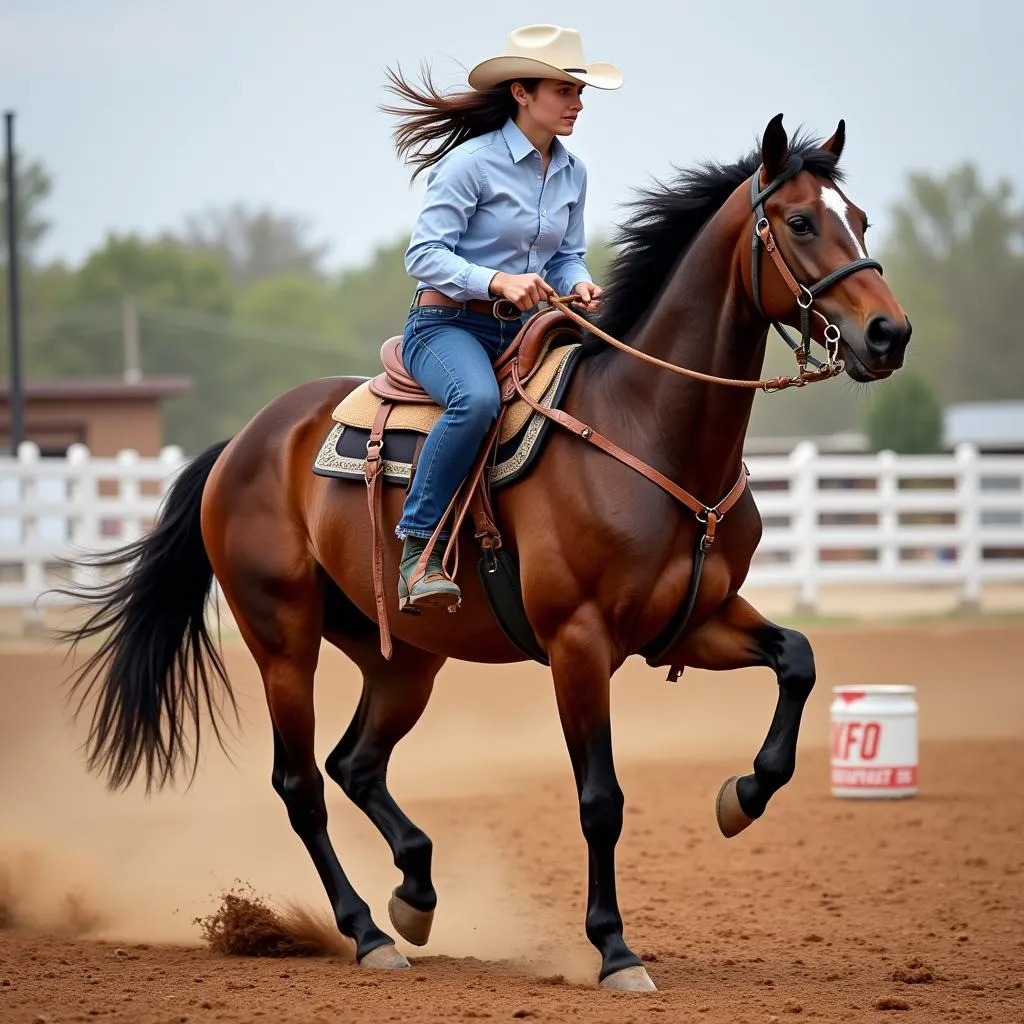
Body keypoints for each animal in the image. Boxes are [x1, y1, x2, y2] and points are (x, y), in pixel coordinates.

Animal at [61, 117, 913, 991]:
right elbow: (600, 799)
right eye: (802, 222)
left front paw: (741, 796)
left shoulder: (695, 621)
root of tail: (244, 443)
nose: (889, 333)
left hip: (403, 659)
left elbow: (798, 658)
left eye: (862, 220)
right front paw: (615, 950)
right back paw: (368, 932)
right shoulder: (580, 643)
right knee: (301, 786)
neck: (645, 427)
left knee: (355, 763)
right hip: (284, 645)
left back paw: (416, 891)